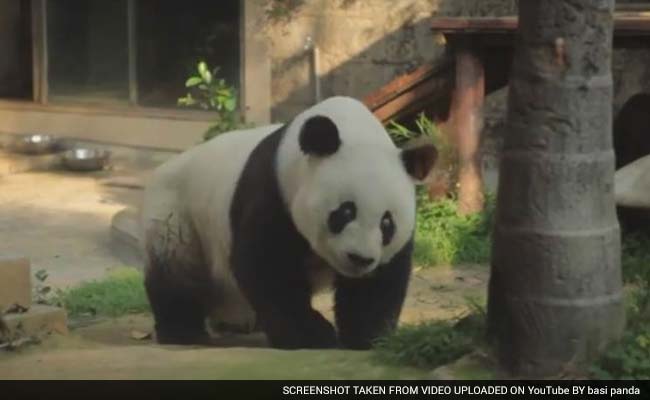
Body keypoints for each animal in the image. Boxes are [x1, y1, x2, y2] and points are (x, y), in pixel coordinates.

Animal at [140, 95, 436, 348]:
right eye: (345, 212)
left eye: (387, 223)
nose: (359, 259)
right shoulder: (274, 192)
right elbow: (268, 266)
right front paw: (312, 335)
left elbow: (376, 286)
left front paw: (369, 337)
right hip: (178, 213)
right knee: (176, 272)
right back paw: (183, 331)